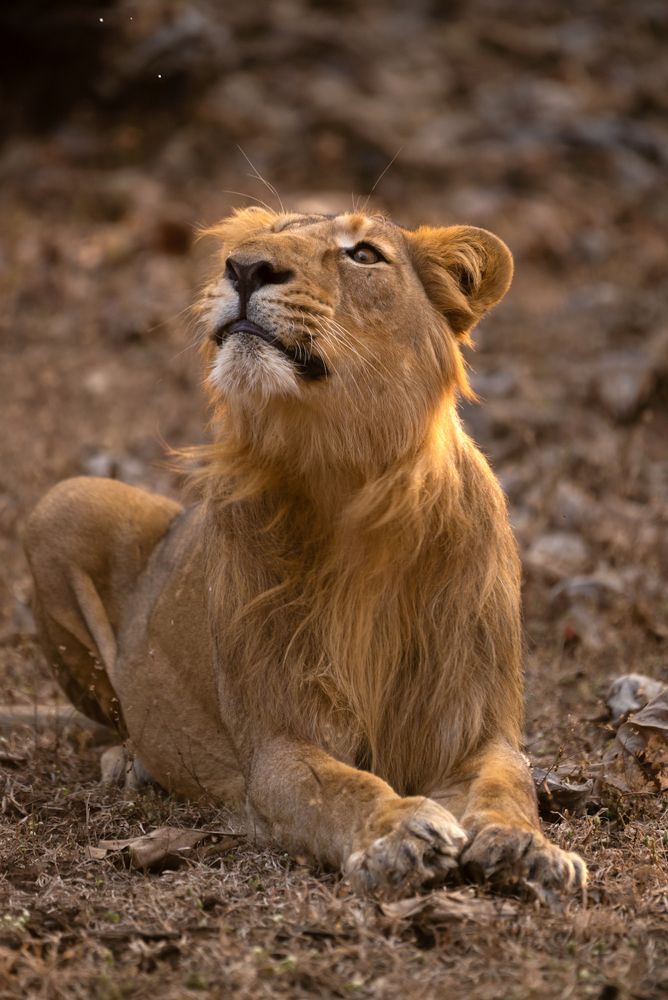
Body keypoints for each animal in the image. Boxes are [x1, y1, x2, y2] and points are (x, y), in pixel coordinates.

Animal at [24, 207, 586, 893]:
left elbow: (511, 785)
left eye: (363, 254)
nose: (243, 268)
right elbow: (341, 786)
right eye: (254, 243)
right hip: (64, 502)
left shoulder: (476, 728)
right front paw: (402, 832)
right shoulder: (276, 744)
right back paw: (130, 761)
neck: (355, 482)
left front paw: (528, 847)